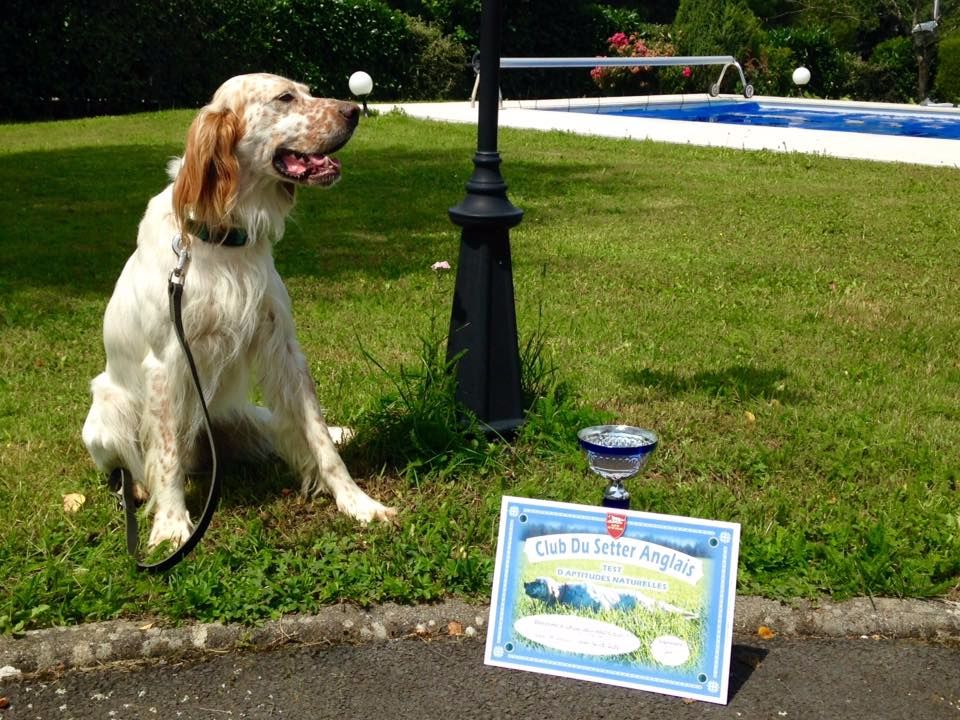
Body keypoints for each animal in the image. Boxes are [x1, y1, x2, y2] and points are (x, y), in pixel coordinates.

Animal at [82, 73, 396, 548]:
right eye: (285, 97)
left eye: (307, 92)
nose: (354, 110)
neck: (223, 235)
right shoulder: (166, 363)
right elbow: (166, 458)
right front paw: (172, 526)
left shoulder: (283, 348)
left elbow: (319, 437)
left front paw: (358, 502)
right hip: (106, 413)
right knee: (130, 466)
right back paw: (134, 490)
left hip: (243, 417)